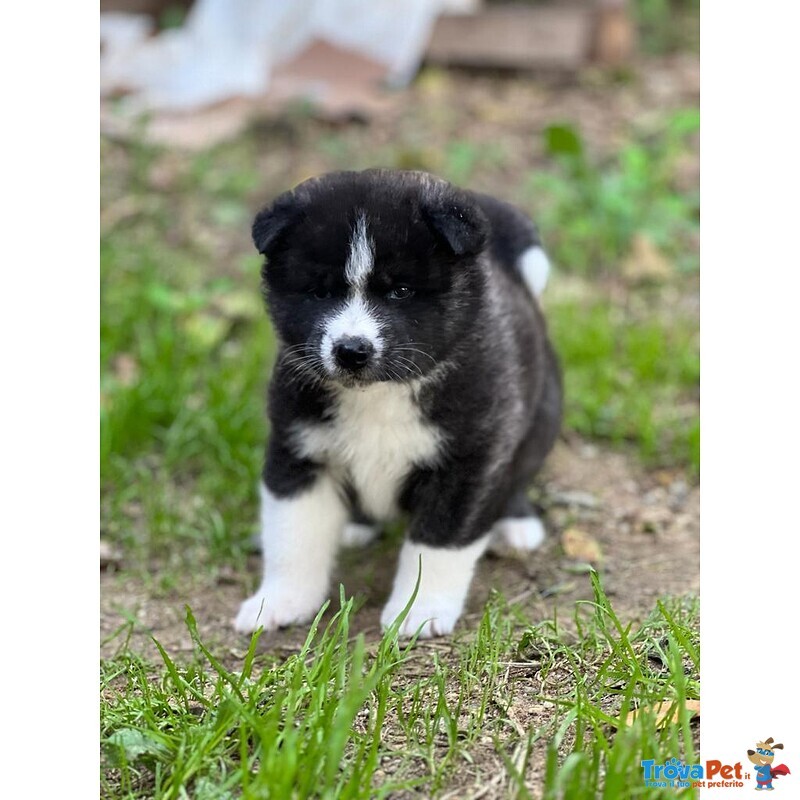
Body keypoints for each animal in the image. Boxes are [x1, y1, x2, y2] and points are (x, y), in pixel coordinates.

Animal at [233, 167, 564, 636]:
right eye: (320, 292)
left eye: (401, 291)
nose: (351, 350)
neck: (381, 395)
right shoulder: (298, 451)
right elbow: (291, 536)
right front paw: (279, 601)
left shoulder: (468, 463)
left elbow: (437, 544)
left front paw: (420, 610)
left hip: (540, 418)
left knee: (520, 471)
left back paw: (515, 523)